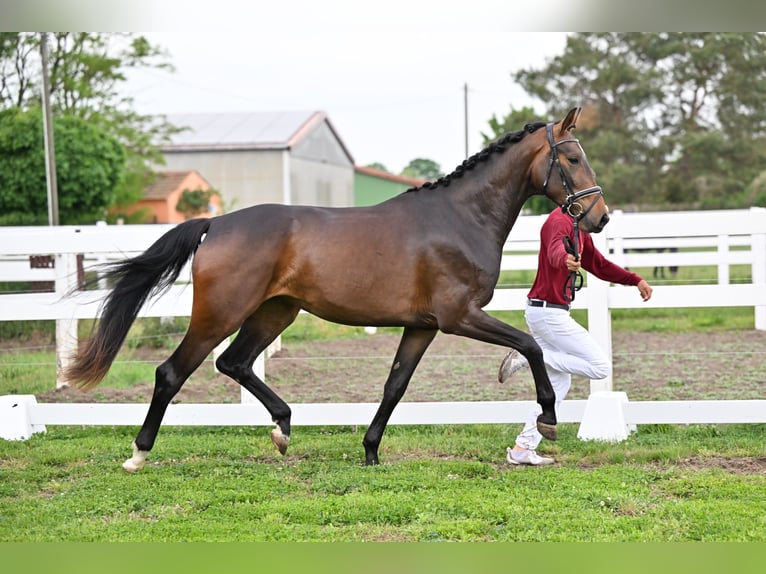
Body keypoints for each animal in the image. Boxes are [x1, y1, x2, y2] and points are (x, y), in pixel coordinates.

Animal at [63, 107, 608, 472]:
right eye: (572, 158)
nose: (599, 217)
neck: (460, 218)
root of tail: (216, 223)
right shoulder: (460, 316)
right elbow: (530, 345)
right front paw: (549, 417)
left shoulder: (423, 326)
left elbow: (394, 385)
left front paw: (370, 451)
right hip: (221, 313)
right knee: (172, 372)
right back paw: (138, 455)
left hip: (274, 312)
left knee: (233, 362)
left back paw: (283, 429)